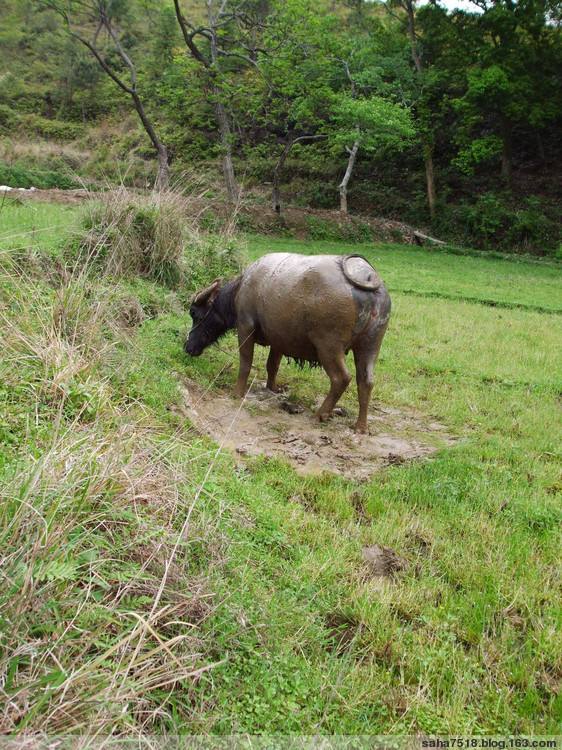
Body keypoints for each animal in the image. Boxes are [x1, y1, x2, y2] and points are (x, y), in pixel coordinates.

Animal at [185, 253, 390, 432]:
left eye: (194, 313)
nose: (188, 347)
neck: (241, 290)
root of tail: (367, 276)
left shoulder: (245, 327)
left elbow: (245, 363)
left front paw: (237, 393)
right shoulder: (278, 340)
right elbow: (272, 365)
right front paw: (273, 388)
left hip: (329, 346)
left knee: (342, 378)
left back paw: (320, 414)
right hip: (370, 345)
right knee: (366, 381)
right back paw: (360, 427)